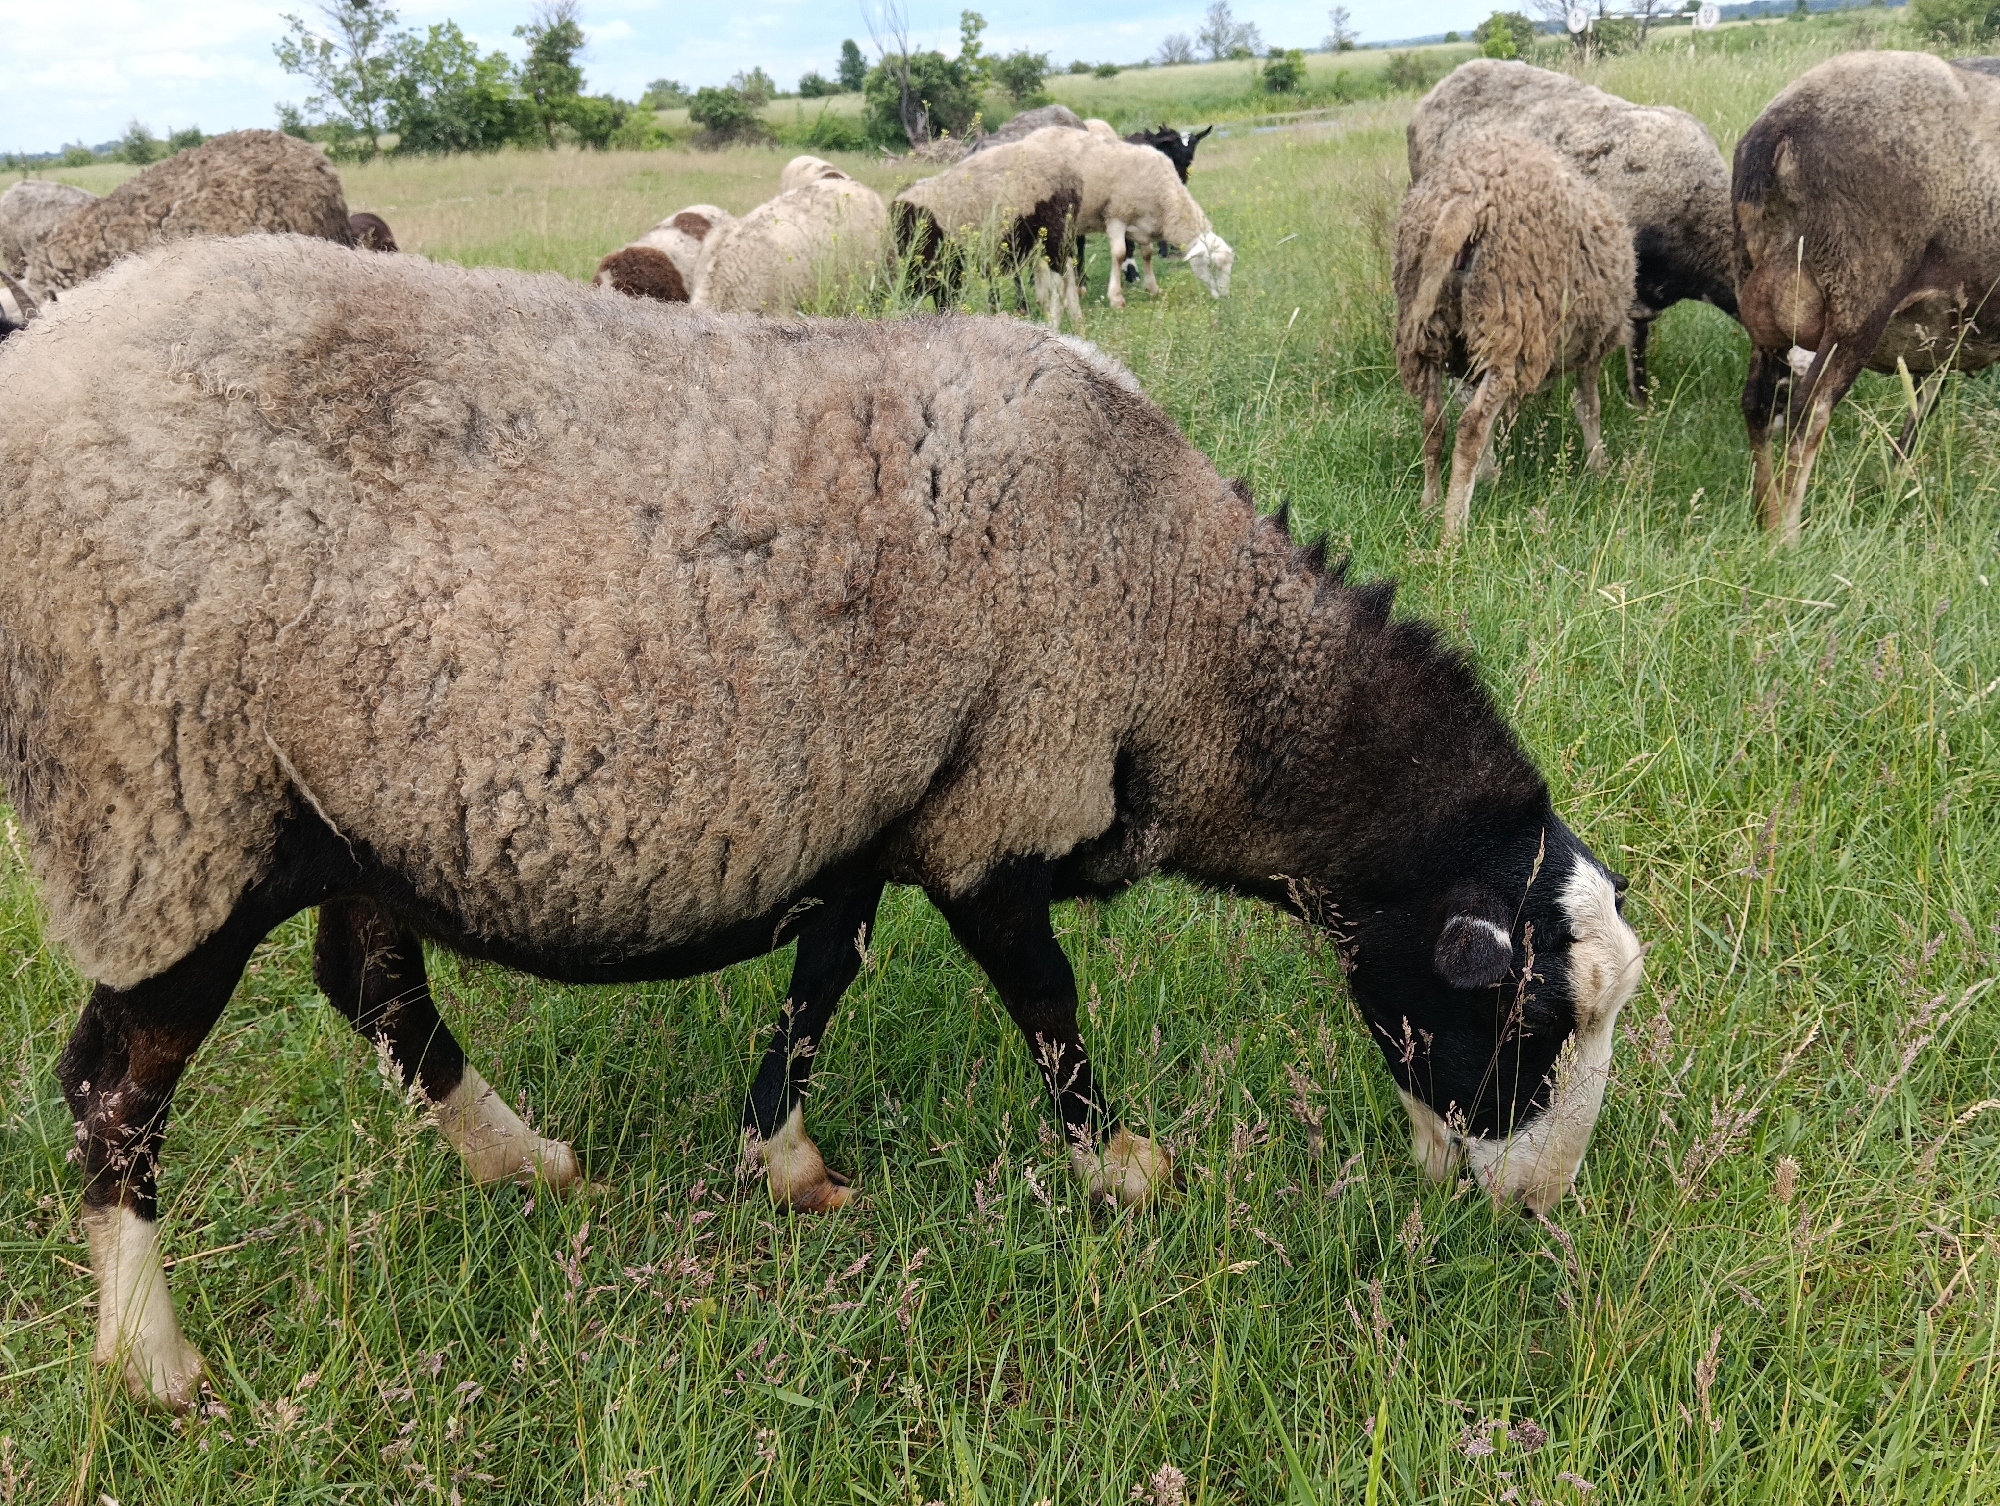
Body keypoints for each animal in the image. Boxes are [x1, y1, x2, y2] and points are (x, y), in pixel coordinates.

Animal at [0, 233, 1642, 1408]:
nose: (1534, 1211)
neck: (1182, 630)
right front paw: (1123, 1172)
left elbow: (820, 981)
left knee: (374, 991)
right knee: (112, 1088)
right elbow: (1047, 1002)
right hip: (165, 807)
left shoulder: (879, 809)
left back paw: (522, 1164)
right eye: (1523, 1016)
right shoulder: (996, 806)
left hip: (340, 812)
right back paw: (153, 1365)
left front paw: (783, 1163)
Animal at [893, 138, 1084, 326]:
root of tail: (1073, 178)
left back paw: (1055, 323)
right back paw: (1077, 323)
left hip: (1054, 230)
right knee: (1068, 275)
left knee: (1061, 279)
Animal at [1394, 131, 1635, 540]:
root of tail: (1464, 201)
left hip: (1432, 333)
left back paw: (1430, 504)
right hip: (1510, 317)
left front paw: (1488, 474)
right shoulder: (1593, 346)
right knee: (1470, 427)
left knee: (1433, 422)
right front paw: (1599, 465)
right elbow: (1589, 406)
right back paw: (1453, 530)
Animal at [1734, 50, 2000, 539]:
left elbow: (1918, 417)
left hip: (1764, 302)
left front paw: (1896, 489)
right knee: (1808, 413)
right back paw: (1788, 537)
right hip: (1858, 303)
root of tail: (1779, 126)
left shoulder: (1941, 344)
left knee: (1758, 404)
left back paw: (1766, 517)